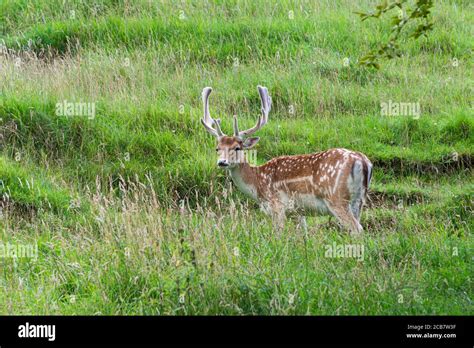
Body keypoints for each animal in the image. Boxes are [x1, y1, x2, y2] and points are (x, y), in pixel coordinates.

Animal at [198, 85, 372, 235]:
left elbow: (278, 234)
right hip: (358, 200)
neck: (258, 183)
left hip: (336, 198)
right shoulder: (298, 212)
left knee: (357, 229)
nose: (222, 162)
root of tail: (363, 161)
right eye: (217, 148)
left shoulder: (277, 206)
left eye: (237, 148)